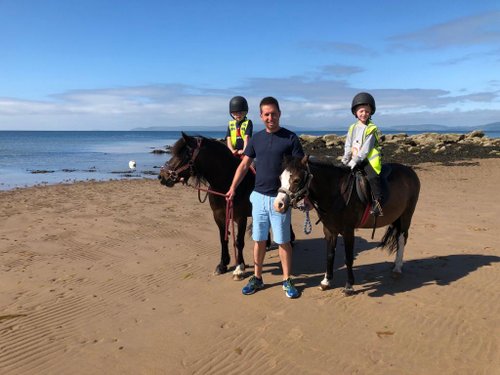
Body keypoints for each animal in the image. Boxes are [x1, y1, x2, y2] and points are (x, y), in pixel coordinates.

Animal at [276, 156, 420, 296]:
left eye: (296, 180)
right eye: (280, 178)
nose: (278, 204)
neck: (336, 193)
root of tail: (410, 171)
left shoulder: (348, 231)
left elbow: (348, 258)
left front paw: (349, 286)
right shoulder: (329, 230)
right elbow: (330, 255)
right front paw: (326, 281)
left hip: (406, 215)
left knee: (401, 239)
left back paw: (397, 267)